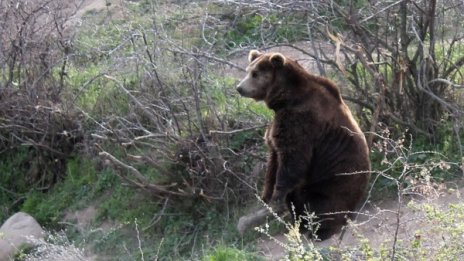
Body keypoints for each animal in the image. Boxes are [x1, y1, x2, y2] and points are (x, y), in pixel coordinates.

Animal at [236, 49, 370, 240]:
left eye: (255, 74)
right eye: (248, 70)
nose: (240, 88)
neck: (286, 98)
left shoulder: (300, 121)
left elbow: (293, 160)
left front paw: (276, 198)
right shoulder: (279, 125)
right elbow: (273, 160)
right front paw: (266, 195)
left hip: (333, 183)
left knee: (323, 205)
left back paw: (320, 231)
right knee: (297, 200)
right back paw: (300, 225)